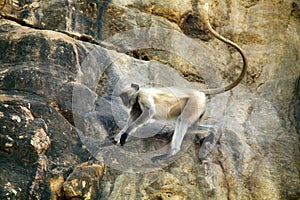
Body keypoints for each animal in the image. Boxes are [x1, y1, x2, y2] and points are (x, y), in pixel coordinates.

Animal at [110, 2, 248, 162]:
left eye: (126, 98)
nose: (125, 103)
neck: (137, 96)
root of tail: (198, 92)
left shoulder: (143, 98)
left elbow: (148, 113)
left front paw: (125, 135)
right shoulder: (136, 106)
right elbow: (130, 120)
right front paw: (118, 136)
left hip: (194, 104)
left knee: (182, 121)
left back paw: (170, 153)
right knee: (192, 126)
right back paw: (211, 133)